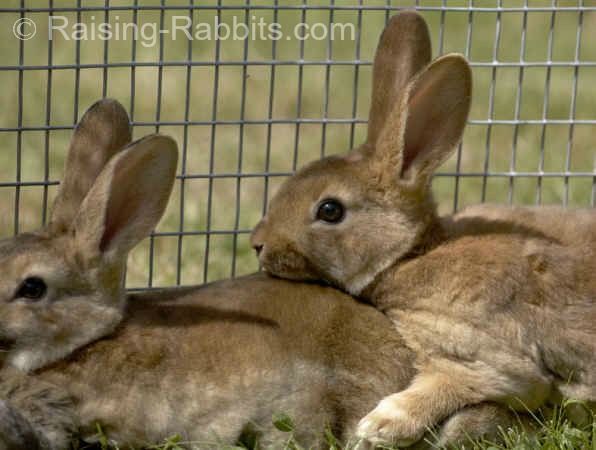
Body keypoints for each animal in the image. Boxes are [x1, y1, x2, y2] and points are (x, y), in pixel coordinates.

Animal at [251, 9, 596, 446]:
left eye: (330, 210)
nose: (258, 244)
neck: (412, 254)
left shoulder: (485, 357)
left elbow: (455, 385)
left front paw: (377, 428)